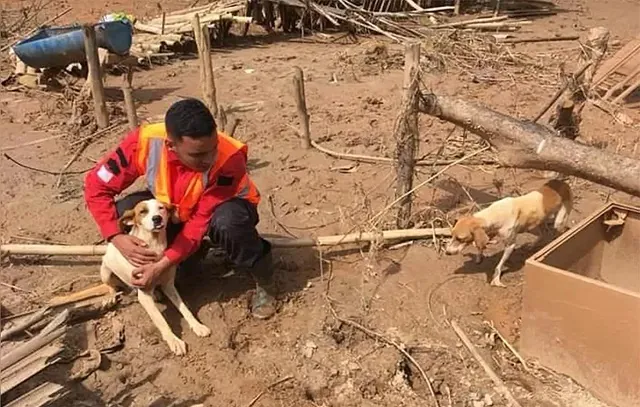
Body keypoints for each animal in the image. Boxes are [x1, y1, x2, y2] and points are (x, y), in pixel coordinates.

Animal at [100, 199, 210, 356]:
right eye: (142, 211)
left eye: (161, 208)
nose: (157, 218)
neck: (155, 245)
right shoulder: (145, 296)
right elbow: (161, 320)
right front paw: (174, 341)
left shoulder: (169, 285)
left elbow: (185, 308)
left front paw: (197, 325)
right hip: (106, 271)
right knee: (110, 286)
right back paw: (110, 297)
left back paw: (156, 293)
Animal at [442, 180, 572, 288]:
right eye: (452, 235)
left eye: (460, 239)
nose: (447, 252)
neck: (493, 214)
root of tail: (563, 183)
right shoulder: (490, 233)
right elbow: (481, 246)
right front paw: (479, 256)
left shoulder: (510, 246)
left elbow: (498, 266)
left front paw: (496, 279)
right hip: (539, 221)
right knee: (544, 232)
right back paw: (534, 245)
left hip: (559, 222)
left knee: (560, 231)